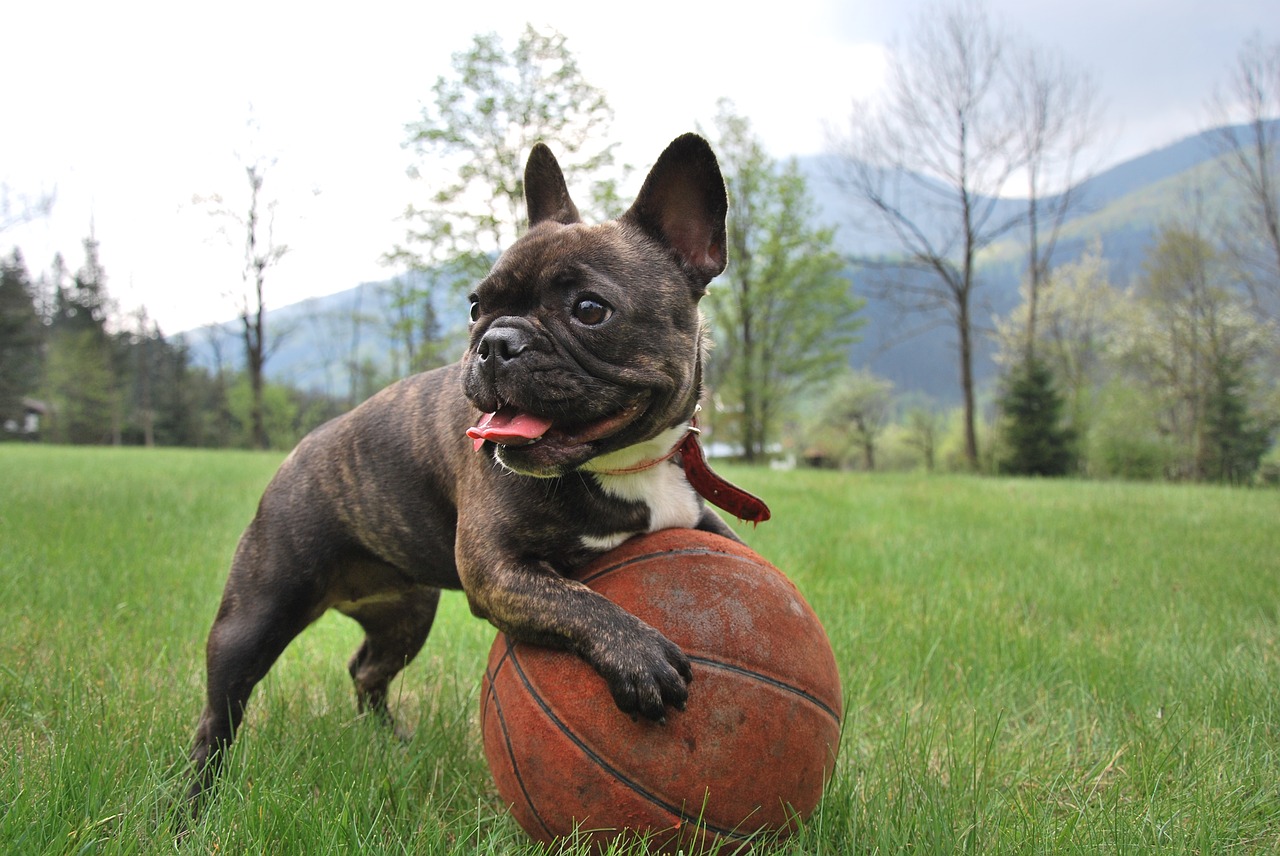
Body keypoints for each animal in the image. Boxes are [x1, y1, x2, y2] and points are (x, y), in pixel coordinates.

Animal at [185, 131, 762, 803]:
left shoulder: (694, 520)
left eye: (590, 309)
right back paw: (194, 802)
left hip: (406, 615)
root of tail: (302, 450)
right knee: (219, 714)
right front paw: (639, 655)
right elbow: (576, 600)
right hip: (257, 613)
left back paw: (390, 743)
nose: (495, 342)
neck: (624, 466)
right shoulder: (497, 569)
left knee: (366, 670)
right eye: (474, 306)